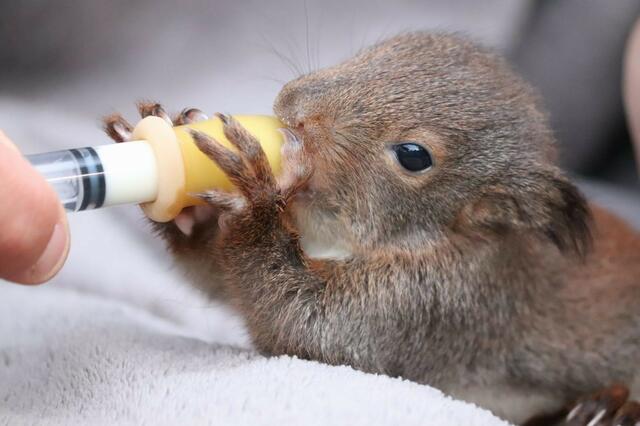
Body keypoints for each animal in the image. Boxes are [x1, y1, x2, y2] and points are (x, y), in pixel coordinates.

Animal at [104, 32, 640, 425]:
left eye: (414, 156)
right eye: (379, 51)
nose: (293, 104)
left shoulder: (439, 302)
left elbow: (312, 328)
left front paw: (255, 192)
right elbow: (219, 279)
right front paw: (185, 201)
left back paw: (604, 409)